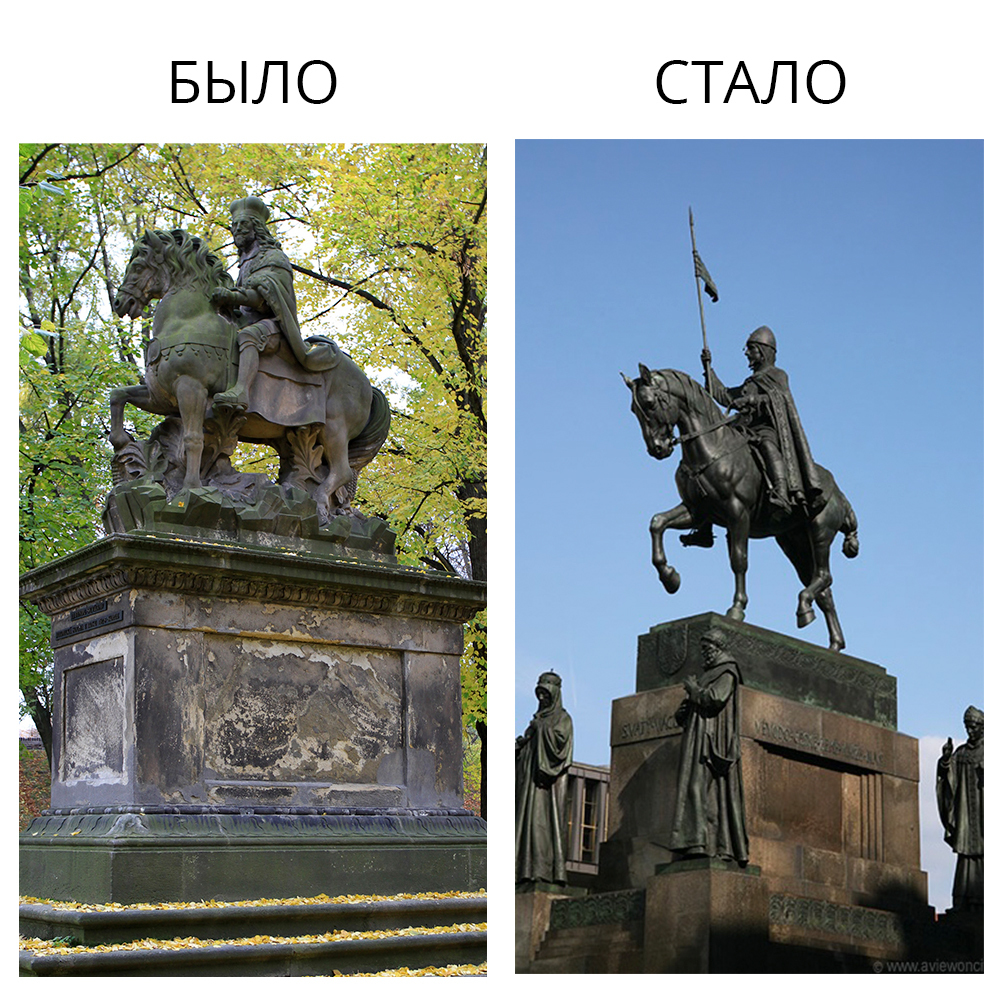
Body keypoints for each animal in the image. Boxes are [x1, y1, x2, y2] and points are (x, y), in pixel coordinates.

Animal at [110, 230, 386, 520]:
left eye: (137, 266)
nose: (120, 303)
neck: (189, 320)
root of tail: (367, 384)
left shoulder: (190, 388)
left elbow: (193, 438)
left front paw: (190, 490)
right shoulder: (162, 396)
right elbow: (118, 395)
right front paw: (120, 440)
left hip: (335, 428)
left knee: (341, 470)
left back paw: (320, 505)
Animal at [620, 364, 856, 652]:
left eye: (650, 403)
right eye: (633, 409)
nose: (657, 449)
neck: (711, 448)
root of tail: (839, 491)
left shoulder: (738, 513)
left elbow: (739, 560)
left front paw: (737, 609)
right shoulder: (696, 511)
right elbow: (657, 523)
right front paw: (670, 578)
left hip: (820, 531)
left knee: (824, 576)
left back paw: (805, 608)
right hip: (794, 542)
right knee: (823, 588)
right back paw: (832, 642)